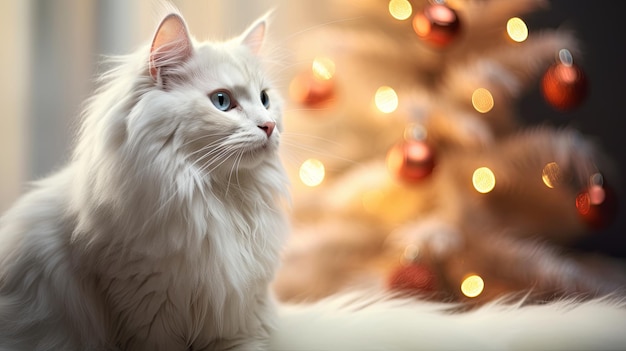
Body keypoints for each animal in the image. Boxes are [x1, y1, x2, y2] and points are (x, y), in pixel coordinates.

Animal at [0, 8, 286, 351]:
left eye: (265, 99)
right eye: (222, 101)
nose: (269, 126)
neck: (218, 200)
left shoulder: (237, 321)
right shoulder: (150, 316)